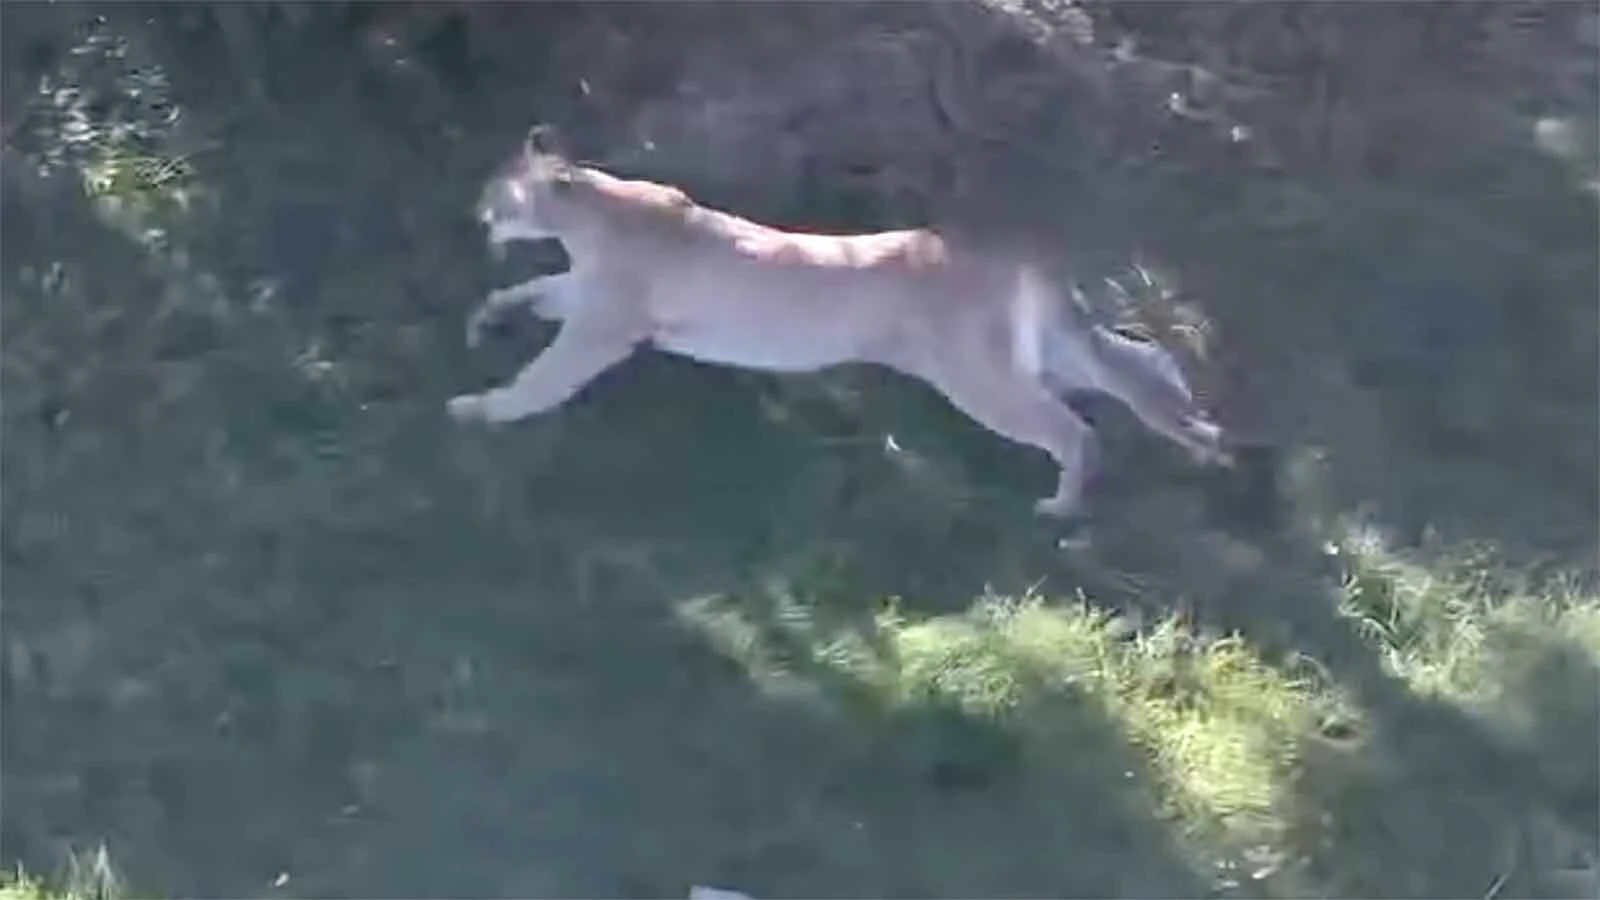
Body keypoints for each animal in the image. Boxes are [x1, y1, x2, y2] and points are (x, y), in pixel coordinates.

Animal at [449, 125, 1231, 519]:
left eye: (497, 185)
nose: (476, 207)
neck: (592, 214)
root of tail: (1006, 246)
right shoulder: (585, 297)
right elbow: (529, 291)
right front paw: (483, 320)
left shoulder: (604, 327)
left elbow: (544, 377)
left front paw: (482, 408)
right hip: (1043, 357)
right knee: (1137, 366)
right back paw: (1193, 428)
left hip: (977, 378)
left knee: (1077, 428)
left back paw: (1061, 507)